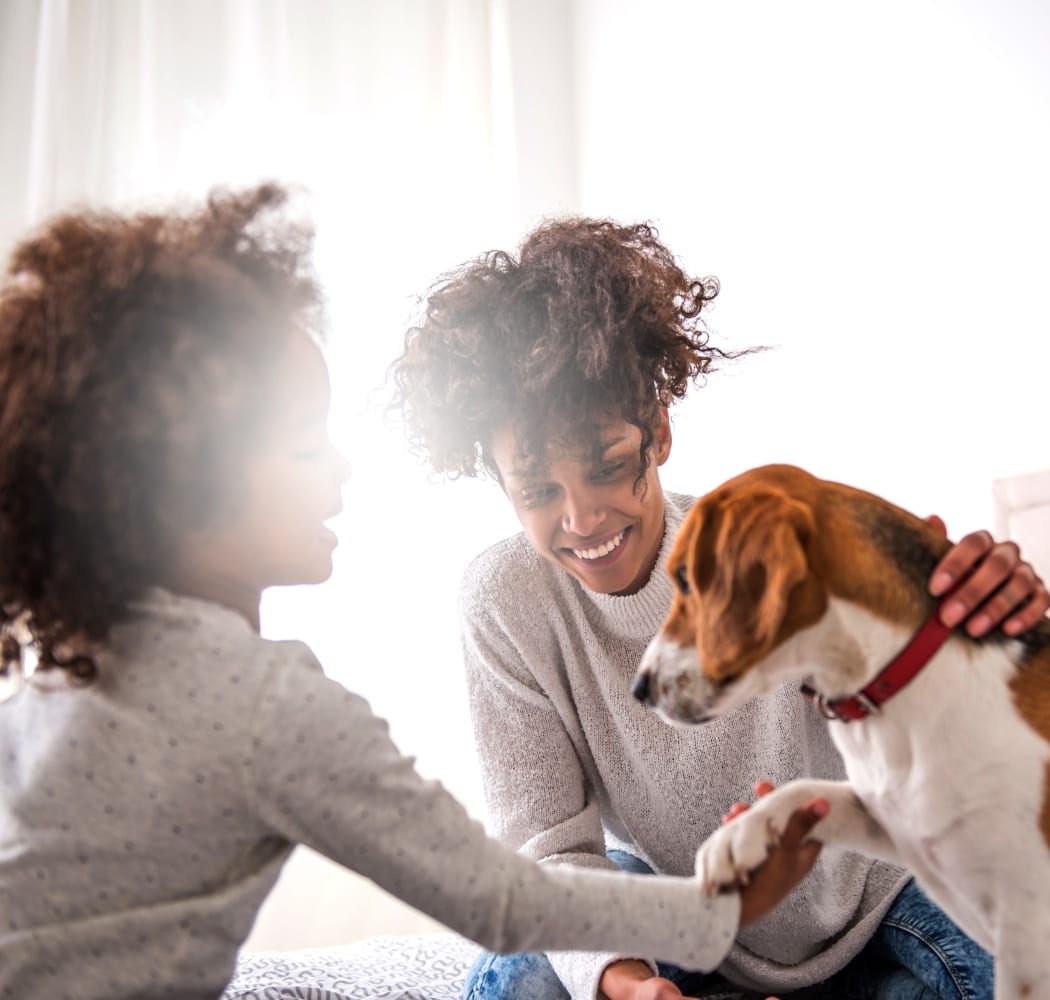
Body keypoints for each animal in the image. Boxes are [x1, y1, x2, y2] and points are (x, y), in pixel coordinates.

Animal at [630, 466, 1050, 1000]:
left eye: (685, 577)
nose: (639, 688)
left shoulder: (1026, 936)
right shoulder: (894, 823)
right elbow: (807, 791)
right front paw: (738, 836)